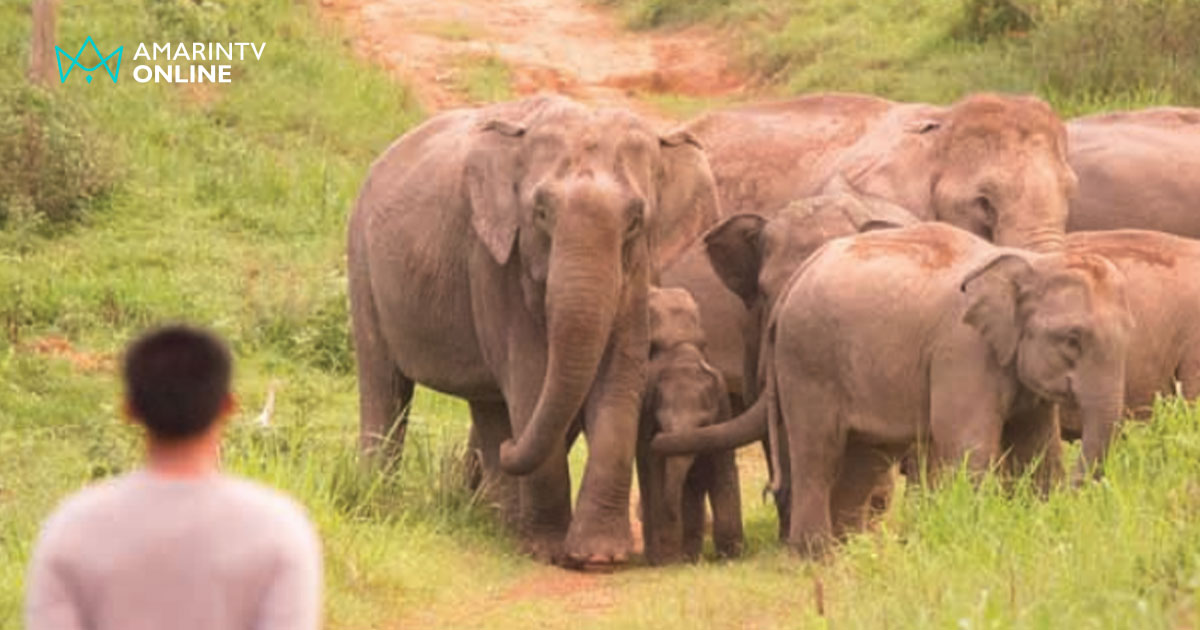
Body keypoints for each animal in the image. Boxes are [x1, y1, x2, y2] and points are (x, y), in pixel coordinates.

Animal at [348, 96, 720, 566]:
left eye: (636, 220)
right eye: (541, 213)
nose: (513, 448)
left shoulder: (638, 272)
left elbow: (619, 380)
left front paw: (600, 556)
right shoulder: (496, 263)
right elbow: (529, 378)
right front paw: (548, 550)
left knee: (488, 404)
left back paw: (498, 517)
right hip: (362, 262)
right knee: (385, 382)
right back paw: (380, 500)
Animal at [638, 286, 739, 561]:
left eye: (704, 423)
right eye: (662, 424)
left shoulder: (723, 404)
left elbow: (722, 466)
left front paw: (731, 555)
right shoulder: (646, 411)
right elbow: (656, 466)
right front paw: (668, 559)